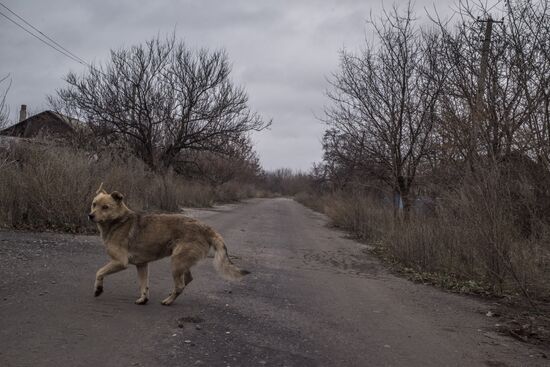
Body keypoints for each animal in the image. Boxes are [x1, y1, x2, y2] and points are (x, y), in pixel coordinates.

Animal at [88, 184, 250, 308]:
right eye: (94, 204)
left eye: (105, 207)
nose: (90, 216)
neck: (118, 221)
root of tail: (205, 227)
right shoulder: (142, 265)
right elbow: (143, 285)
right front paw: (143, 299)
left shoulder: (120, 262)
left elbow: (99, 272)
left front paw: (98, 289)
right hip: (181, 262)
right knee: (187, 279)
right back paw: (170, 295)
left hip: (176, 262)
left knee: (180, 285)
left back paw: (168, 301)